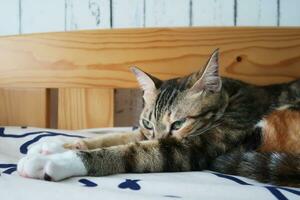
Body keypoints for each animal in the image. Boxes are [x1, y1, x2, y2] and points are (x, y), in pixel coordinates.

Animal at [17, 50, 300, 188]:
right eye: (148, 123)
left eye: (178, 124)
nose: (160, 134)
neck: (231, 98)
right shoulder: (143, 133)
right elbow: (120, 136)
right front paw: (55, 144)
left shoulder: (193, 147)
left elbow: (130, 151)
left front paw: (54, 161)